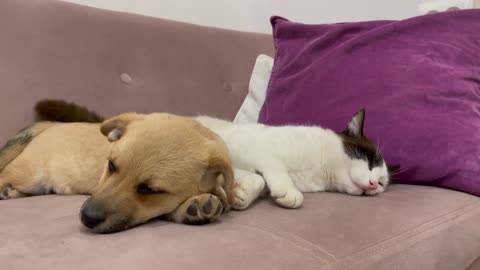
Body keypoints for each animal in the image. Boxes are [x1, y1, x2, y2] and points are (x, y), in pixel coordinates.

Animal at [0, 113, 234, 233]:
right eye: (111, 165)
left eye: (151, 190)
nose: (87, 218)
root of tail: (48, 125)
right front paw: (193, 206)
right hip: (29, 174)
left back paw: (10, 193)